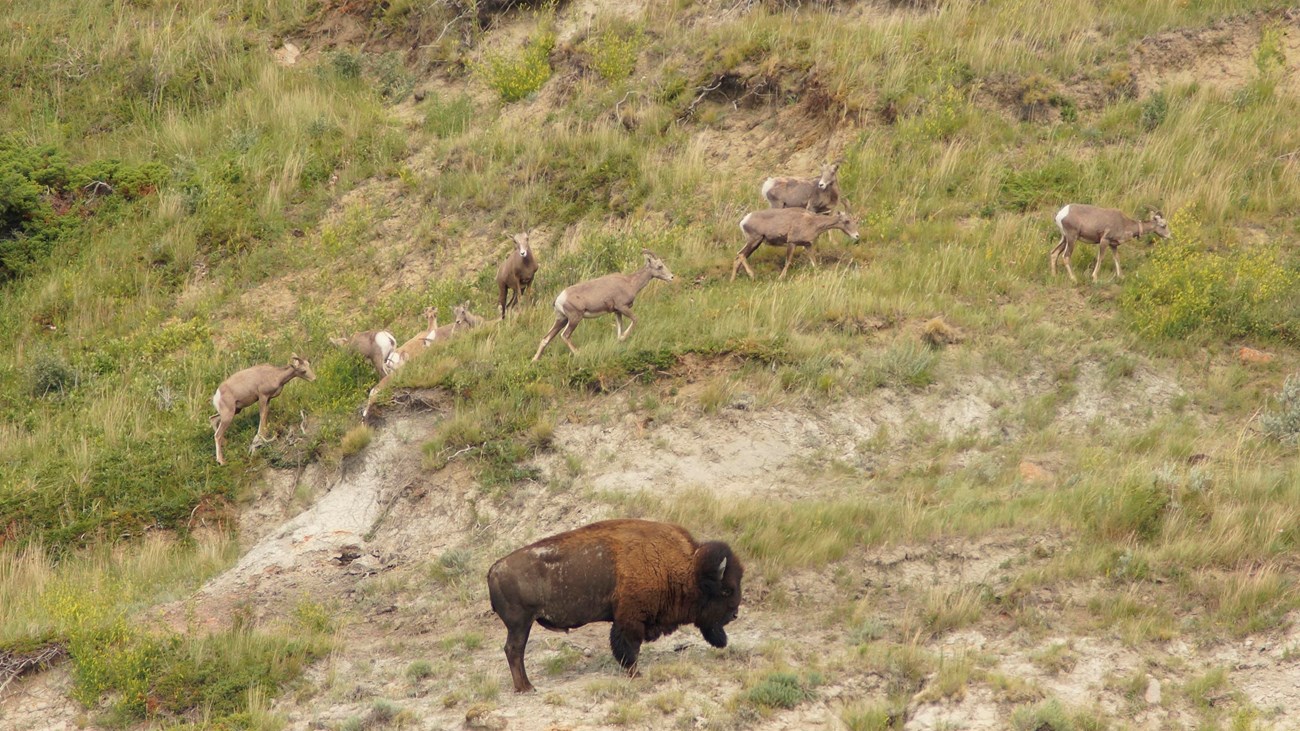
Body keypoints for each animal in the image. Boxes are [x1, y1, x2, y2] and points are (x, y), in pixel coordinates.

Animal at [488, 517, 748, 686]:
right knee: (514, 650)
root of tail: (494, 569)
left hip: (521, 624)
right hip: (520, 624)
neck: (686, 569)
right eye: (726, 590)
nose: (735, 614)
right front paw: (636, 674)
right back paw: (526, 688)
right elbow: (629, 649)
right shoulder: (629, 619)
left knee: (513, 651)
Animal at [533, 248, 676, 358]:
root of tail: (559, 298)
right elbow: (635, 319)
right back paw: (579, 353)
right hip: (574, 318)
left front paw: (619, 340)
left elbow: (619, 328)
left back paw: (535, 360)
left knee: (546, 338)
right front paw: (623, 338)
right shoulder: (622, 307)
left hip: (561, 319)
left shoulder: (617, 312)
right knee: (565, 335)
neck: (630, 283)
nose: (671, 277)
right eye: (659, 266)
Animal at [733, 210, 863, 282]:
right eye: (846, 221)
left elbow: (814, 263)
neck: (813, 223)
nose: (857, 236)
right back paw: (752, 275)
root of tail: (744, 221)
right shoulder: (792, 243)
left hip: (755, 243)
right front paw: (781, 278)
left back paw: (733, 280)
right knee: (740, 254)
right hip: (754, 240)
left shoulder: (807, 245)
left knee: (738, 257)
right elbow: (788, 262)